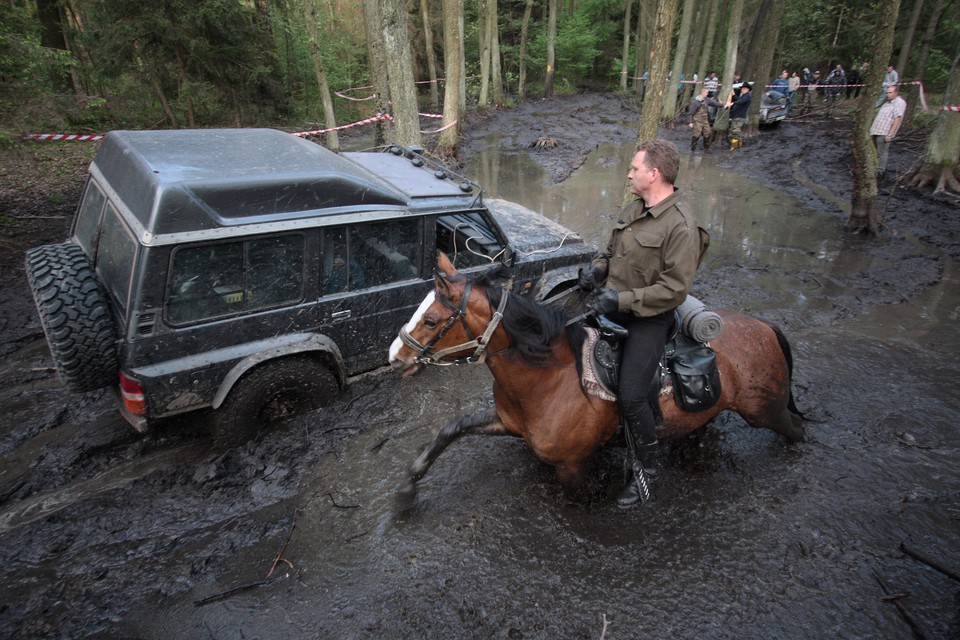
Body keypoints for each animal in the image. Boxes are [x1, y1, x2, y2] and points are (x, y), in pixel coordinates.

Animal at [388, 255, 804, 500]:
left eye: (431, 320)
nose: (395, 355)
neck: (547, 379)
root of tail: (764, 326)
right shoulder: (508, 422)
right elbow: (452, 428)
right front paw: (408, 487)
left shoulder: (572, 468)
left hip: (765, 410)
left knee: (795, 429)